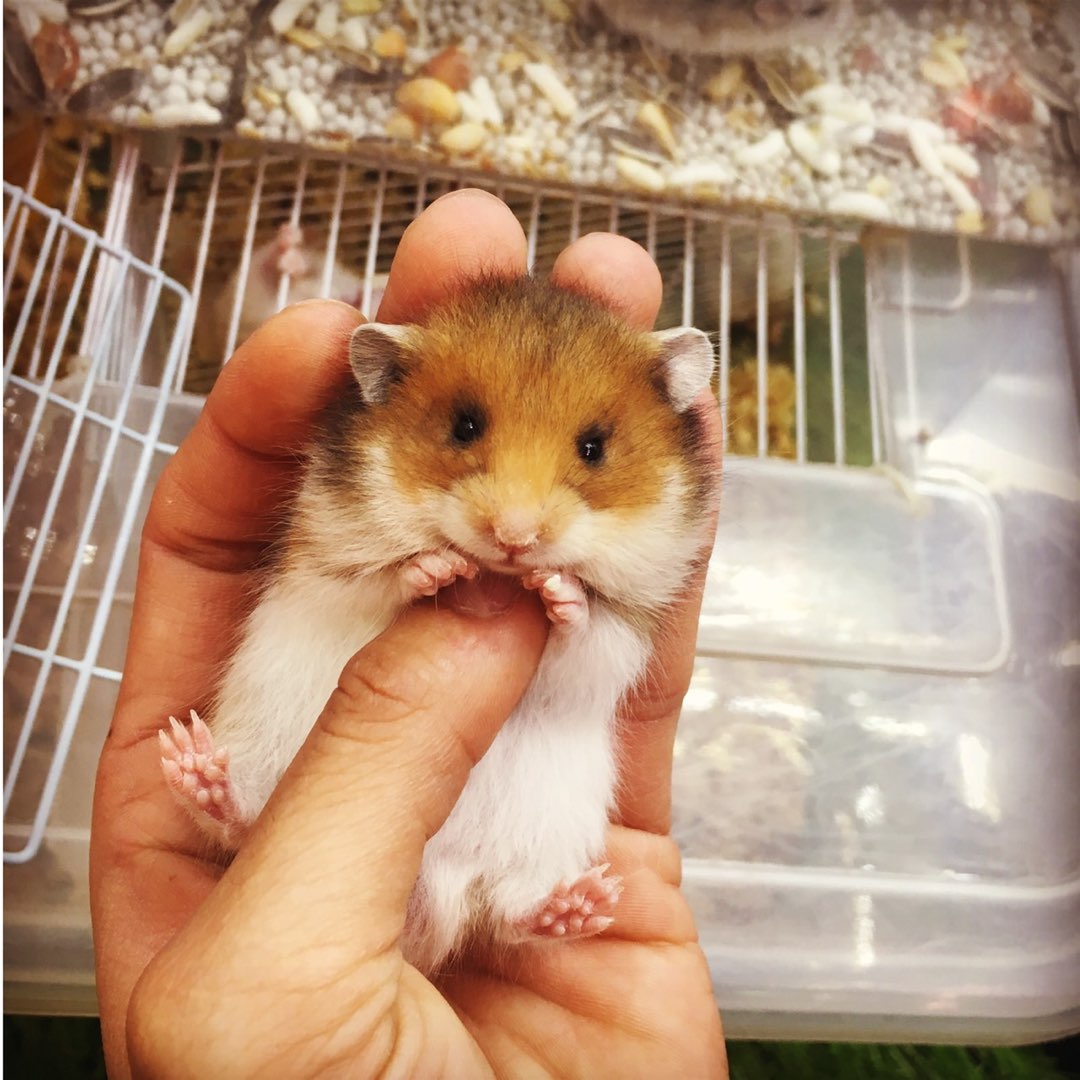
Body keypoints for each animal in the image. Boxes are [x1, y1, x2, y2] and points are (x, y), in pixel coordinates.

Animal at [160, 275, 718, 975]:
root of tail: (427, 901)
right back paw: (193, 765)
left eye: (594, 447)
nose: (514, 538)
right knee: (240, 826)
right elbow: (383, 582)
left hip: (542, 840)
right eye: (463, 426)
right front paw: (441, 569)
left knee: (508, 916)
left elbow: (586, 632)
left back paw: (580, 905)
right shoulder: (325, 567)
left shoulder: (626, 631)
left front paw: (555, 591)